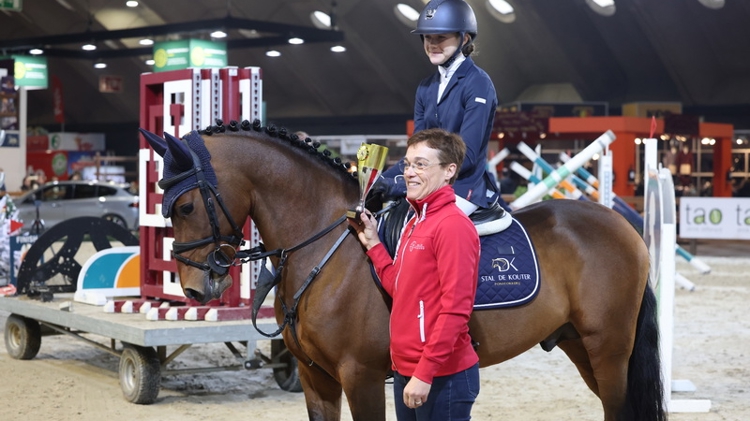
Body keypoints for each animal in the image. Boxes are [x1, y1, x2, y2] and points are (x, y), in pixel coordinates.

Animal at [142, 120, 668, 420]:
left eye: (185, 206)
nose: (195, 288)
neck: (327, 246)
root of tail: (622, 227)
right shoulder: (316, 379)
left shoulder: (362, 376)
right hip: (581, 345)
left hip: (608, 348)